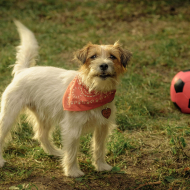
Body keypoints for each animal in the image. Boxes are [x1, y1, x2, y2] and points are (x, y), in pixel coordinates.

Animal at [0, 20, 131, 177]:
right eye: (93, 56)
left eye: (112, 56)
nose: (104, 65)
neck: (93, 89)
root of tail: (24, 71)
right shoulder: (72, 129)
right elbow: (72, 152)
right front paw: (72, 171)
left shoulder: (102, 127)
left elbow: (99, 148)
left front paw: (101, 166)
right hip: (9, 116)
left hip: (44, 116)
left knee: (41, 135)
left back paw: (55, 152)